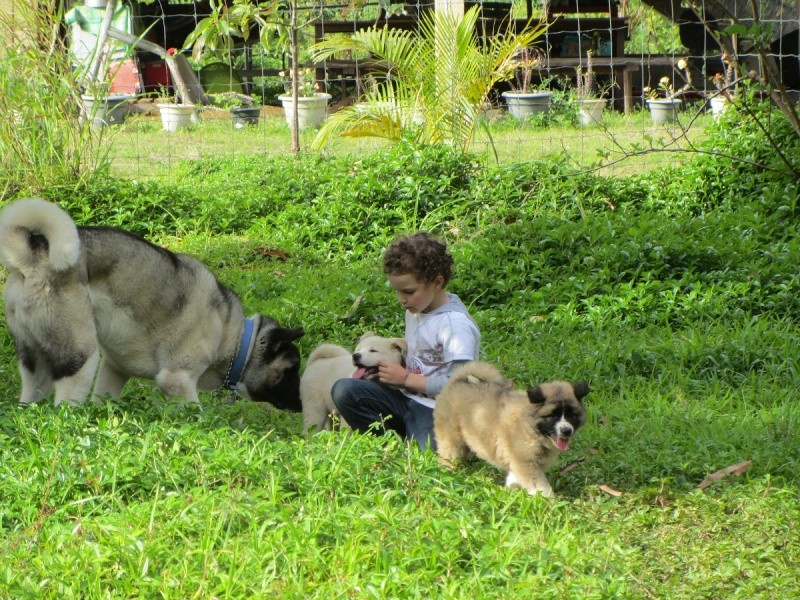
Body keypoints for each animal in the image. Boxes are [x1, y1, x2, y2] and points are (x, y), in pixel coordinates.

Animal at [0, 199, 304, 410]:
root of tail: (34, 257)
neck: (237, 338)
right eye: (291, 371)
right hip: (80, 357)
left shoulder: (114, 371)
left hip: (34, 363)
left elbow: (104, 398)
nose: (303, 404)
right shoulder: (178, 380)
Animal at [434, 360, 592, 496]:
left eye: (572, 415)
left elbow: (514, 477)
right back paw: (446, 474)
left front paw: (511, 490)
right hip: (451, 438)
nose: (566, 431)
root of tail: (457, 381)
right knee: (449, 454)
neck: (530, 426)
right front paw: (550, 503)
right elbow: (541, 487)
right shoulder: (526, 463)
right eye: (551, 416)